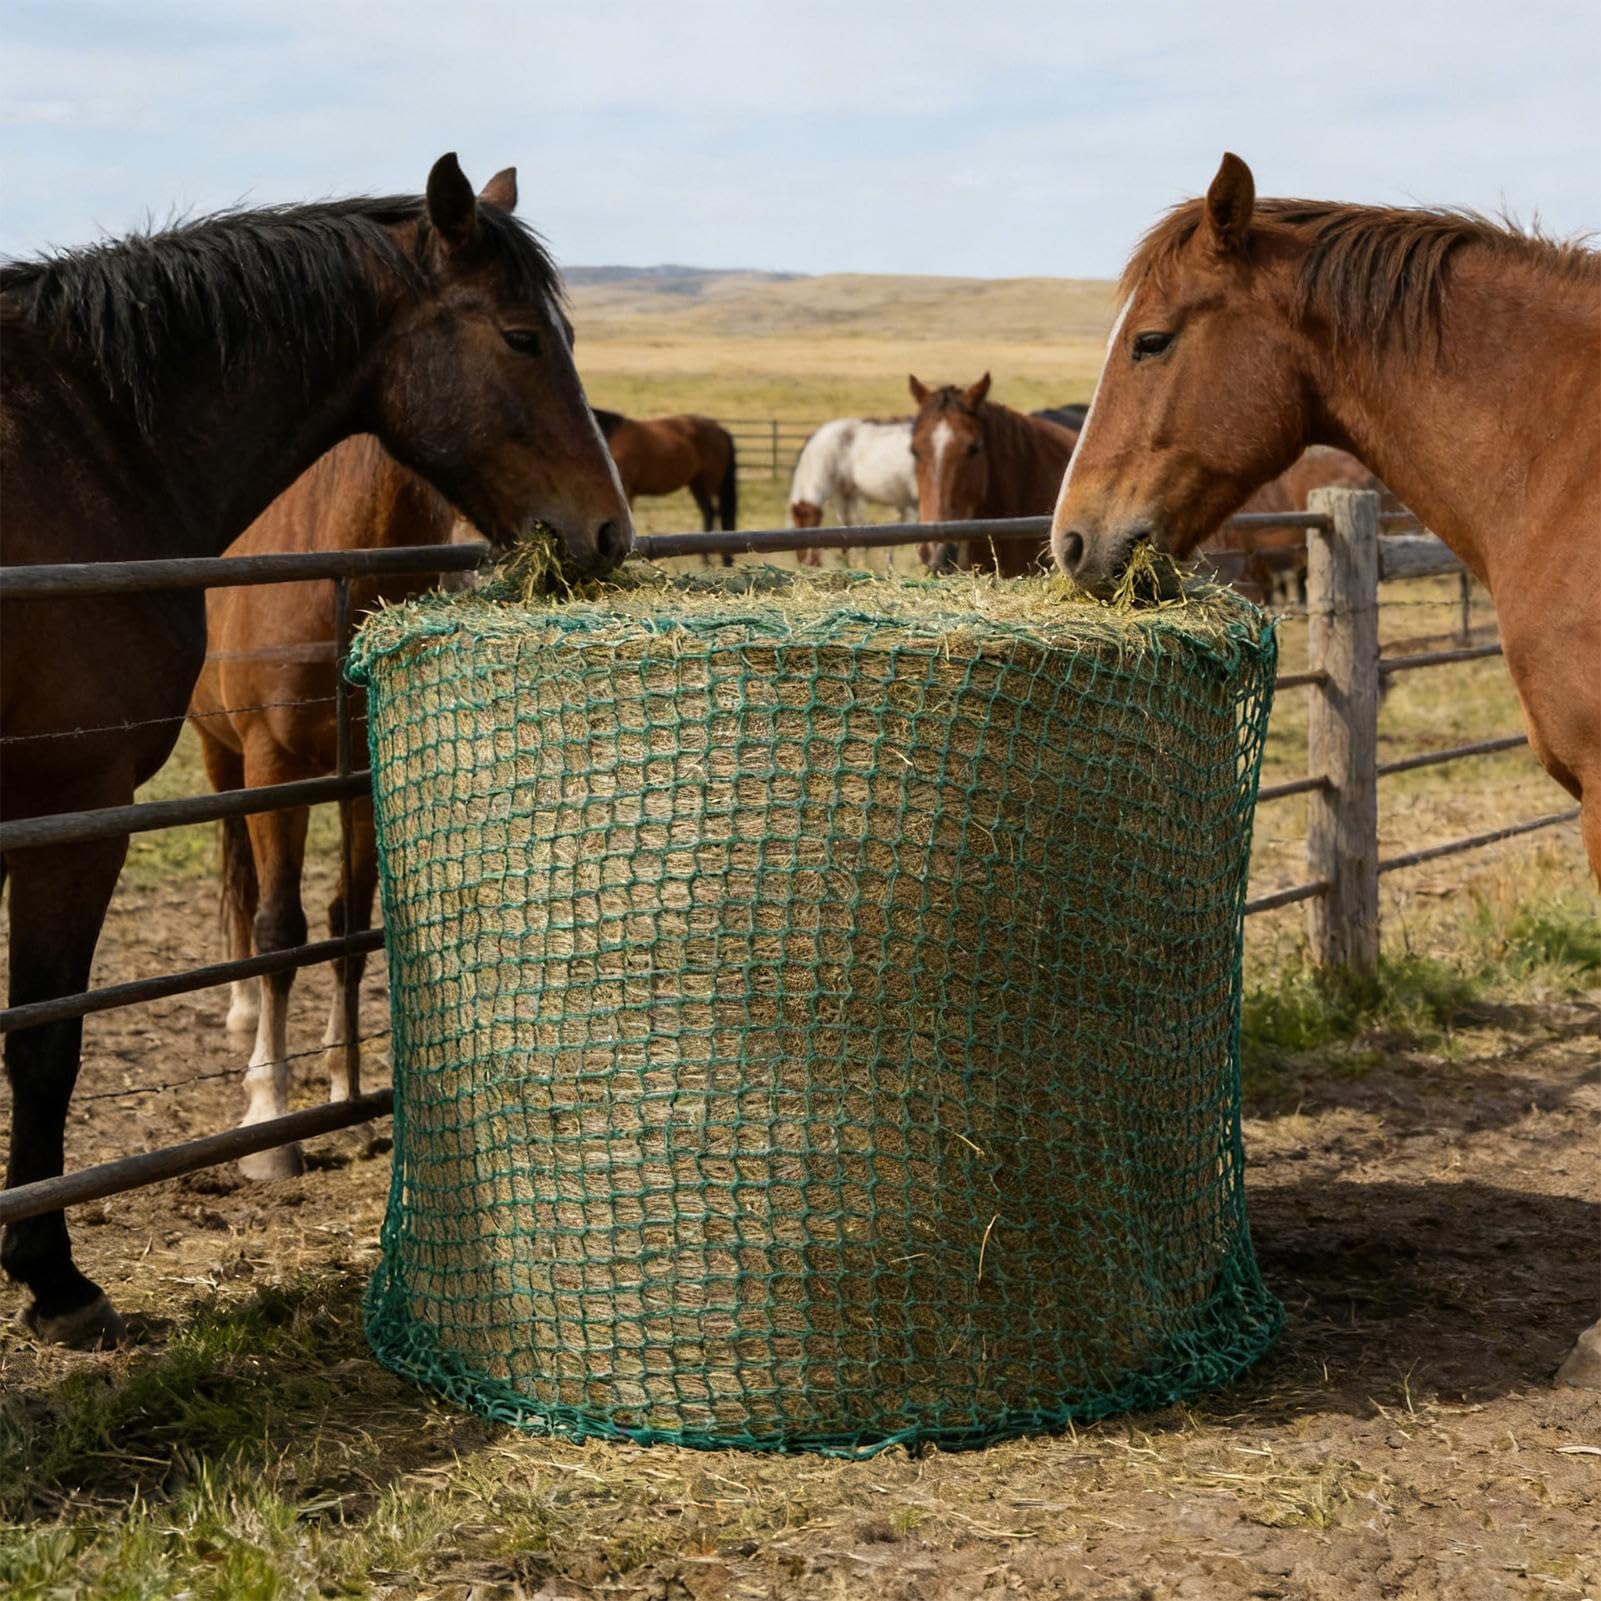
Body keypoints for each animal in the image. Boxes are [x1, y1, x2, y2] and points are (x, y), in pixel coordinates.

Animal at [188, 437, 459, 1182]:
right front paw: (269, 1120)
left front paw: (347, 1089)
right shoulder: (273, 768)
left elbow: (352, 928)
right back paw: (242, 1011)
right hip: (222, 757)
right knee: (240, 879)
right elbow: (281, 928)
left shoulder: (362, 781)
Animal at [787, 417, 918, 565]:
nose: (804, 560)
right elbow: (850, 523)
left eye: (802, 521)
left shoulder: (845, 493)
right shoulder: (849, 493)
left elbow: (851, 522)